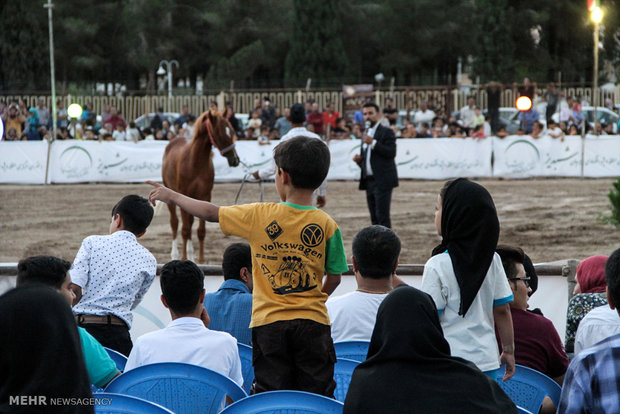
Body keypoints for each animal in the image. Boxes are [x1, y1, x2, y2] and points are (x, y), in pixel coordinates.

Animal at [161, 110, 239, 264]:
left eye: (232, 131)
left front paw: (201, 260)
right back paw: (176, 254)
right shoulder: (184, 194)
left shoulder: (205, 196)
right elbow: (185, 229)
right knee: (175, 224)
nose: (235, 160)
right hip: (172, 198)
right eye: (221, 132)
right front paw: (184, 257)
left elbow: (201, 231)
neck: (195, 163)